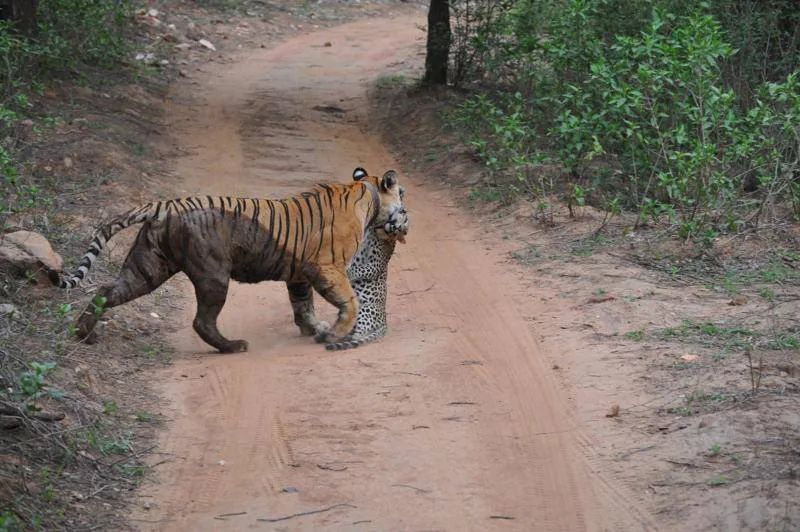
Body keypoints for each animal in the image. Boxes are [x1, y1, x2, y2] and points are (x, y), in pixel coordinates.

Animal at [50, 170, 410, 354]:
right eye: (403, 196)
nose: (407, 219)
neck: (366, 195)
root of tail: (166, 206)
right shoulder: (328, 267)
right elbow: (349, 301)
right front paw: (334, 333)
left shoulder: (298, 274)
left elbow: (302, 304)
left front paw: (314, 329)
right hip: (213, 276)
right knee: (202, 320)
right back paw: (232, 346)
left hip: (147, 267)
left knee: (106, 291)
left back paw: (84, 334)